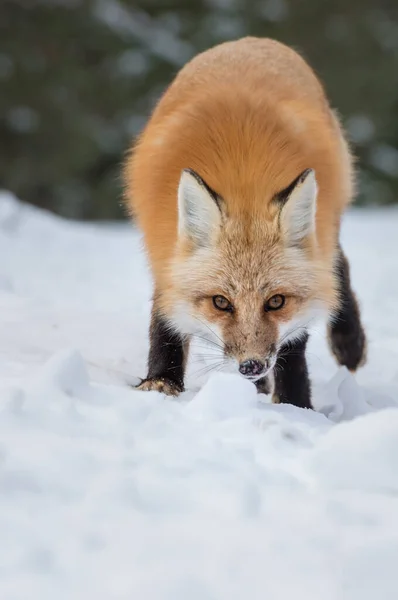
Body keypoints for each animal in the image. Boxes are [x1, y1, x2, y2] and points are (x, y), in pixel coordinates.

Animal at [124, 34, 366, 408]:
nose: (252, 365)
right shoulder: (166, 251)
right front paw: (161, 382)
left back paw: (348, 341)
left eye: (276, 301)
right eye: (221, 303)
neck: (243, 183)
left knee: (337, 266)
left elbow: (293, 344)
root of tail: (249, 40)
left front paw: (296, 404)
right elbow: (165, 320)